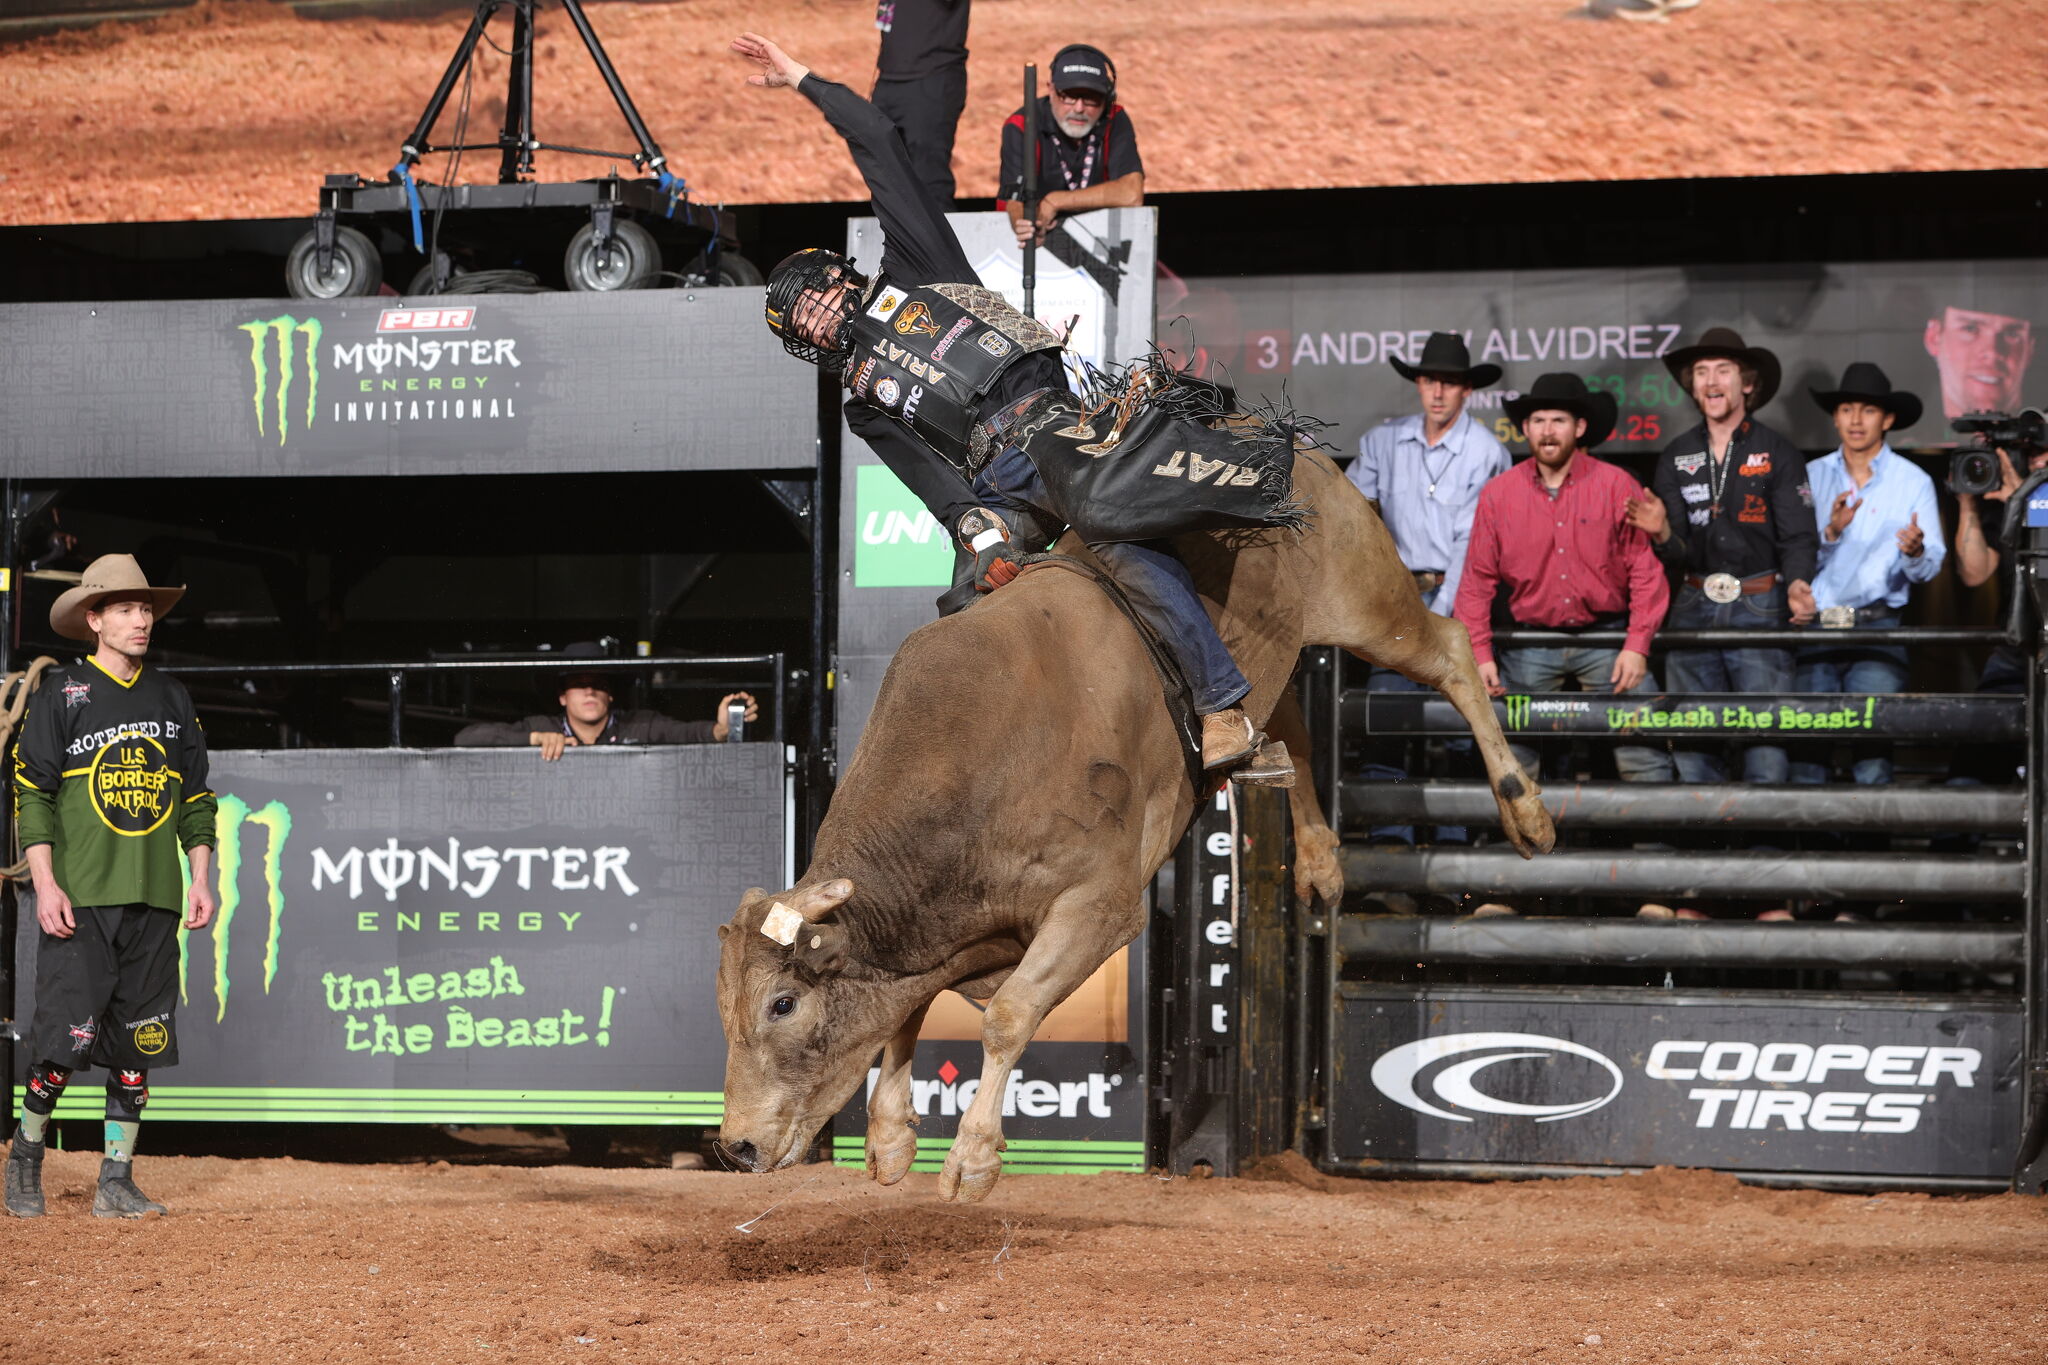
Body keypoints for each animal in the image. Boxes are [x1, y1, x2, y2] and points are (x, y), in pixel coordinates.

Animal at [716, 446, 1548, 1195]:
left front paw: (972, 1159)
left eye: (783, 1002)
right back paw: (1318, 860)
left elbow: (1007, 1015)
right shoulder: (951, 932)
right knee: (1292, 729)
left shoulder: (1100, 906)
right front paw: (889, 1138)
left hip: (1362, 593)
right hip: (1279, 652)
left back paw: (1527, 812)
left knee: (1448, 650)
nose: (735, 1147)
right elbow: (906, 1006)